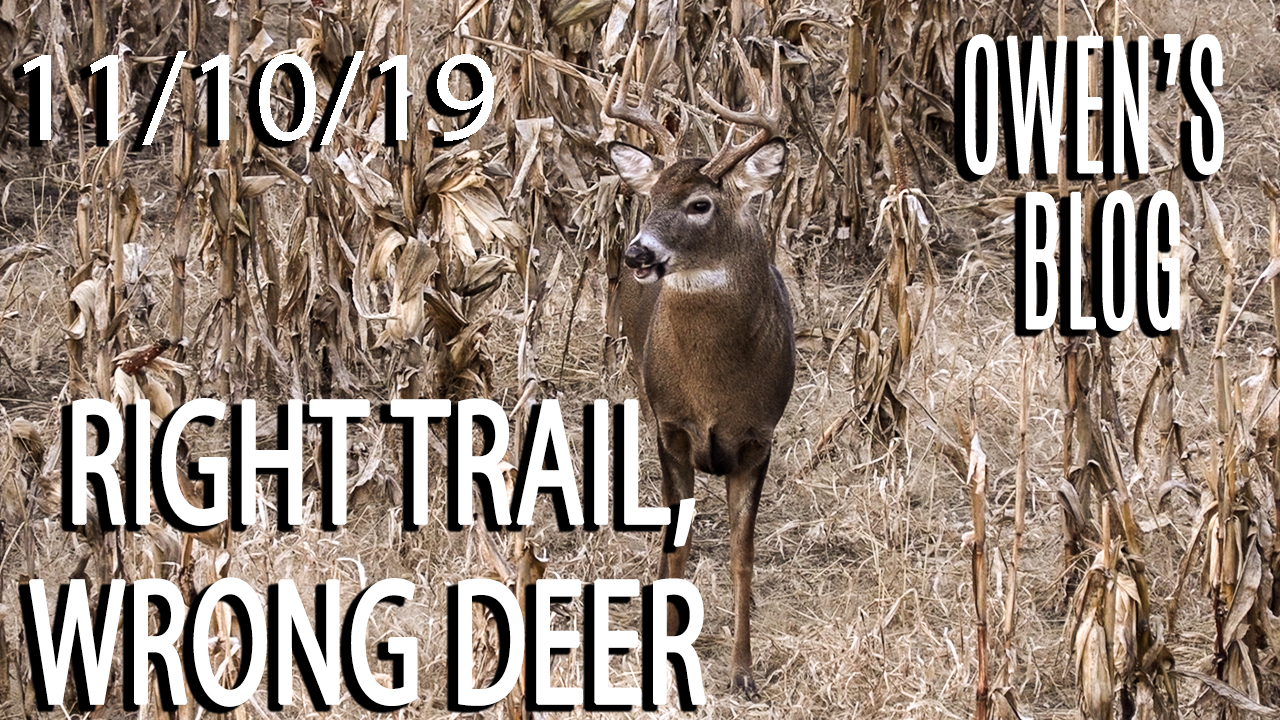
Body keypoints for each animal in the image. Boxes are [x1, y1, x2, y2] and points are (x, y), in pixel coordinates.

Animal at [605, 36, 796, 697]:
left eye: (699, 203)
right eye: (650, 198)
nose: (638, 252)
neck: (714, 389)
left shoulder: (759, 439)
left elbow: (743, 557)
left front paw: (742, 671)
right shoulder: (671, 428)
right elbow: (676, 548)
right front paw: (664, 655)